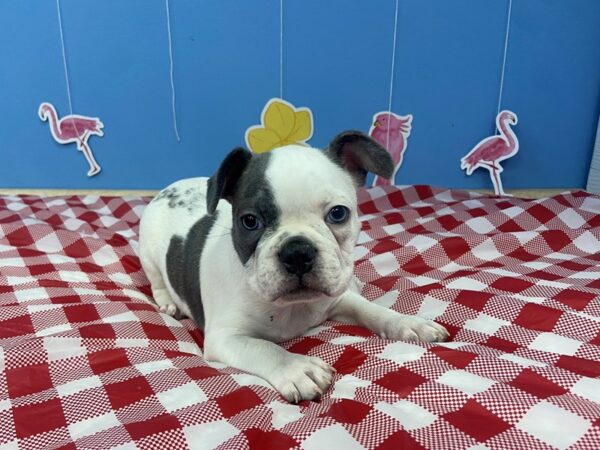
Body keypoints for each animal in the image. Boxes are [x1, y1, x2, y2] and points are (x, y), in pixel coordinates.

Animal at [141, 130, 448, 400]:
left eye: (338, 213)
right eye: (250, 221)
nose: (298, 252)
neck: (291, 307)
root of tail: (169, 188)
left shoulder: (338, 299)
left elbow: (371, 310)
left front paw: (408, 323)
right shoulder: (225, 337)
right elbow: (264, 348)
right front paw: (297, 368)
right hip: (148, 255)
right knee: (156, 281)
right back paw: (167, 302)